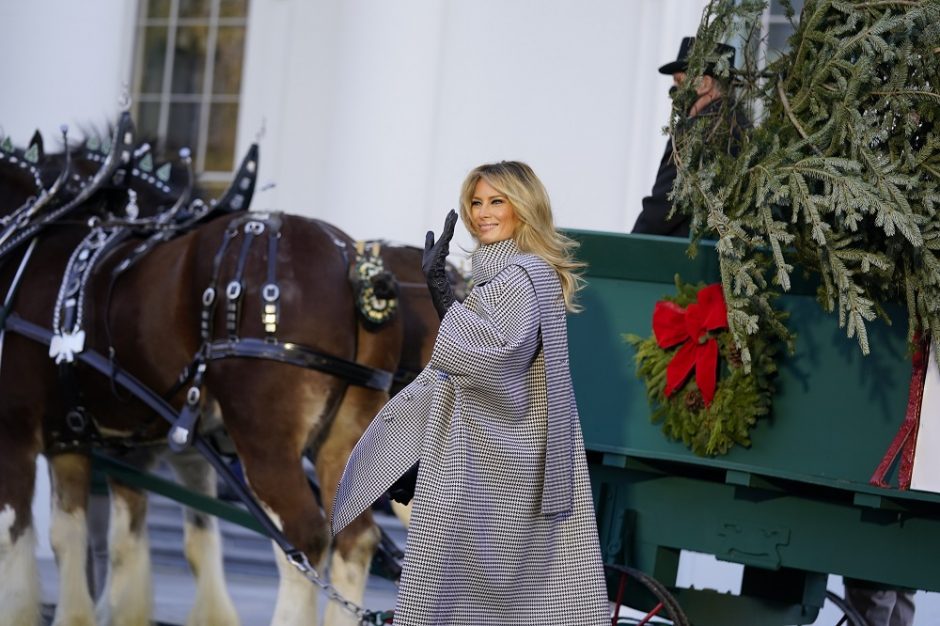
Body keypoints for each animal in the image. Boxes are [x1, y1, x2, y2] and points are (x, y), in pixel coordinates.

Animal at [0, 123, 456, 624]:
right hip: (350, 435)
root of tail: (359, 267)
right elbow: (89, 537)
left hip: (266, 440)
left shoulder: (20, 431)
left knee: (305, 538)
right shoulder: (85, 442)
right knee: (354, 538)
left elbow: (18, 536)